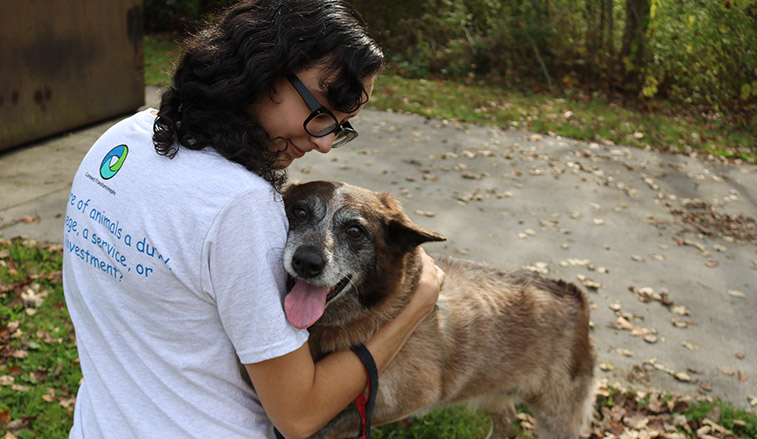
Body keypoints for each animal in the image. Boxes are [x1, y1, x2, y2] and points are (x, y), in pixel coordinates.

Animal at [280, 180, 592, 438]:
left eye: (355, 231)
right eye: (299, 212)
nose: (306, 262)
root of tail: (573, 294)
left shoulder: (398, 402)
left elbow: (321, 430)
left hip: (556, 419)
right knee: (506, 417)